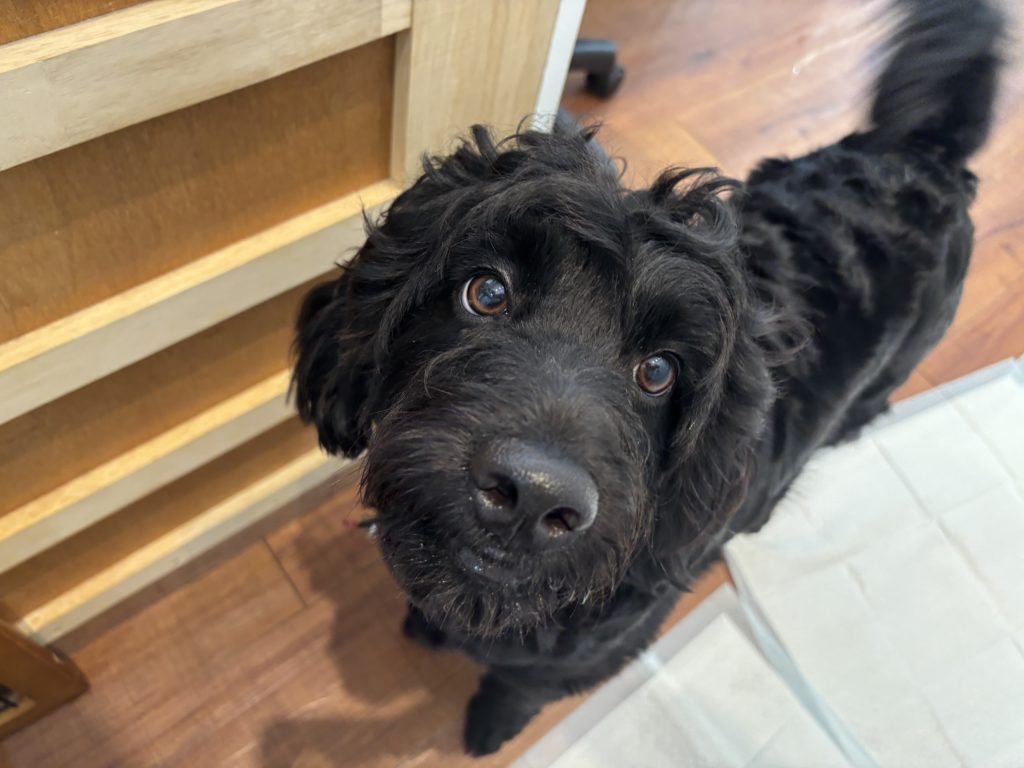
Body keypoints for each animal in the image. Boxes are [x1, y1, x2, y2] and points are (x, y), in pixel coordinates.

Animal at [293, 0, 1005, 756]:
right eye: (485, 292)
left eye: (660, 371)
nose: (531, 496)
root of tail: (926, 153)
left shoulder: (592, 653)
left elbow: (518, 685)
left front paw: (489, 725)